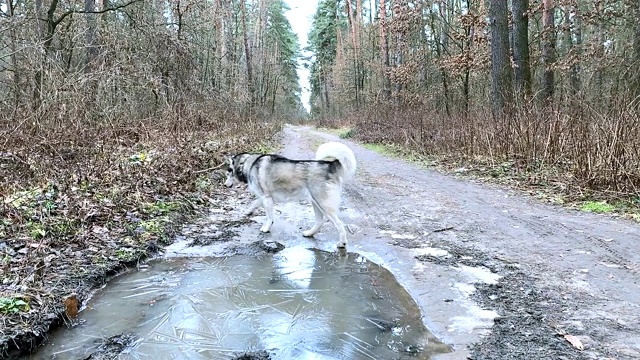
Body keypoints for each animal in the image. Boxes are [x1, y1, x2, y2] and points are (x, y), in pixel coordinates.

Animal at [224, 142, 356, 249]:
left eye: (229, 171)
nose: (225, 185)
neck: (246, 163)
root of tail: (330, 164)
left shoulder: (266, 198)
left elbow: (269, 217)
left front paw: (266, 228)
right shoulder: (265, 197)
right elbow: (254, 203)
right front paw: (248, 211)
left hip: (323, 204)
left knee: (339, 224)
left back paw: (342, 243)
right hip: (315, 202)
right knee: (320, 221)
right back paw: (309, 233)